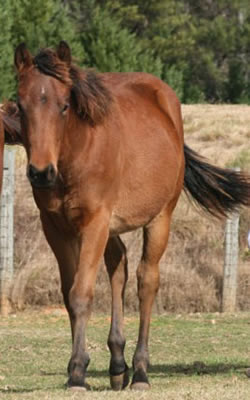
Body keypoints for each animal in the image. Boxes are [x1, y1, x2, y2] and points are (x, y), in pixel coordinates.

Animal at [14, 41, 250, 390]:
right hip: (111, 229)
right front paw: (78, 367)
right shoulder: (55, 228)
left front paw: (78, 373)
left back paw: (139, 370)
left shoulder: (95, 223)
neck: (77, 153)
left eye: (64, 106)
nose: (41, 173)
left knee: (146, 281)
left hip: (159, 219)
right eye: (20, 105)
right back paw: (117, 365)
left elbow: (81, 293)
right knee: (120, 267)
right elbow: (69, 296)